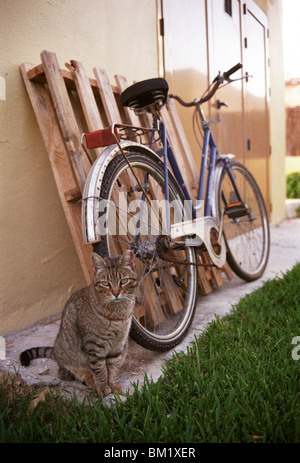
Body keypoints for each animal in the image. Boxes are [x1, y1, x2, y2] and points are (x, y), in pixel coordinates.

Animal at [20, 252, 138, 396]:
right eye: (105, 283)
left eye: (124, 281)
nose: (116, 293)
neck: (119, 313)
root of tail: (56, 351)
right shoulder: (94, 346)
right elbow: (100, 370)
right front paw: (102, 387)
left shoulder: (118, 345)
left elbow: (113, 369)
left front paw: (114, 384)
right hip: (71, 359)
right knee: (70, 373)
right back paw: (90, 381)